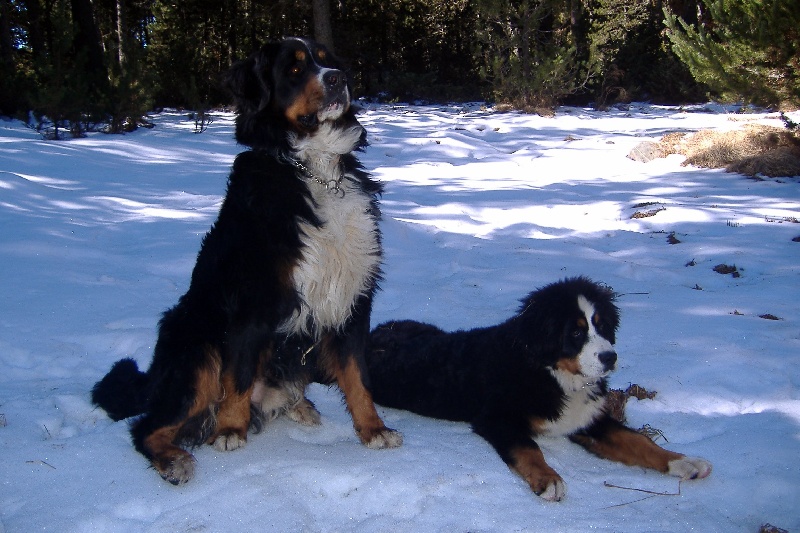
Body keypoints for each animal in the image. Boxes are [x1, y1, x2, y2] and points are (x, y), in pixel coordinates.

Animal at [366, 276, 708, 500]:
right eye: (575, 332)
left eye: (602, 325)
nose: (610, 357)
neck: (553, 374)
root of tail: (378, 332)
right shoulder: (499, 418)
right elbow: (528, 448)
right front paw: (548, 478)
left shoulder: (589, 419)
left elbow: (637, 440)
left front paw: (682, 461)